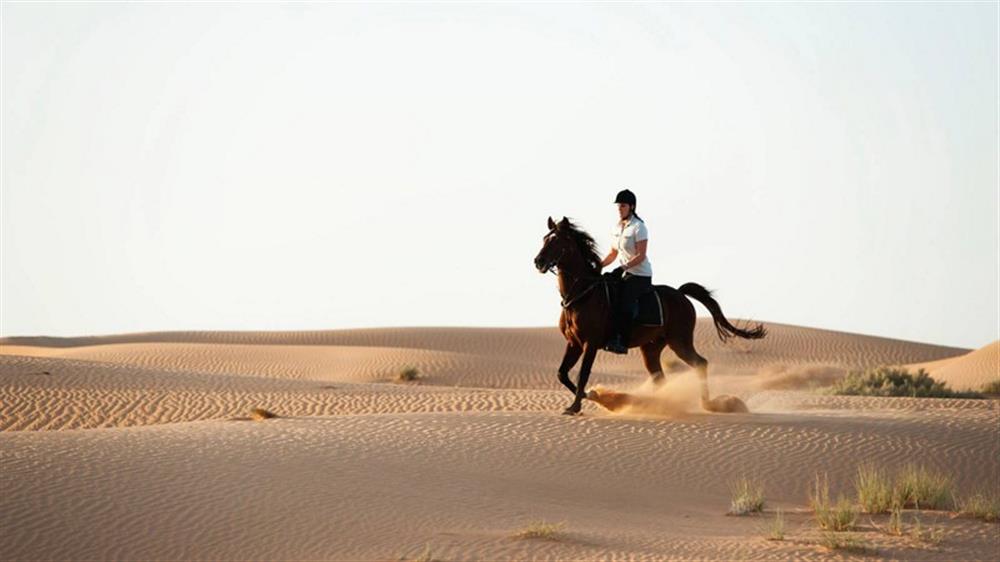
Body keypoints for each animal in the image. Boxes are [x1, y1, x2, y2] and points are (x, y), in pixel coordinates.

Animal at [536, 217, 768, 414]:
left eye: (557, 241)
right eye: (545, 238)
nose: (538, 262)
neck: (582, 294)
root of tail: (681, 294)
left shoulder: (590, 343)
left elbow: (583, 374)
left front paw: (577, 406)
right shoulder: (574, 343)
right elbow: (562, 373)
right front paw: (590, 396)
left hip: (679, 341)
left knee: (700, 363)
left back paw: (707, 404)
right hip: (651, 348)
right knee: (660, 378)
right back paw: (659, 404)